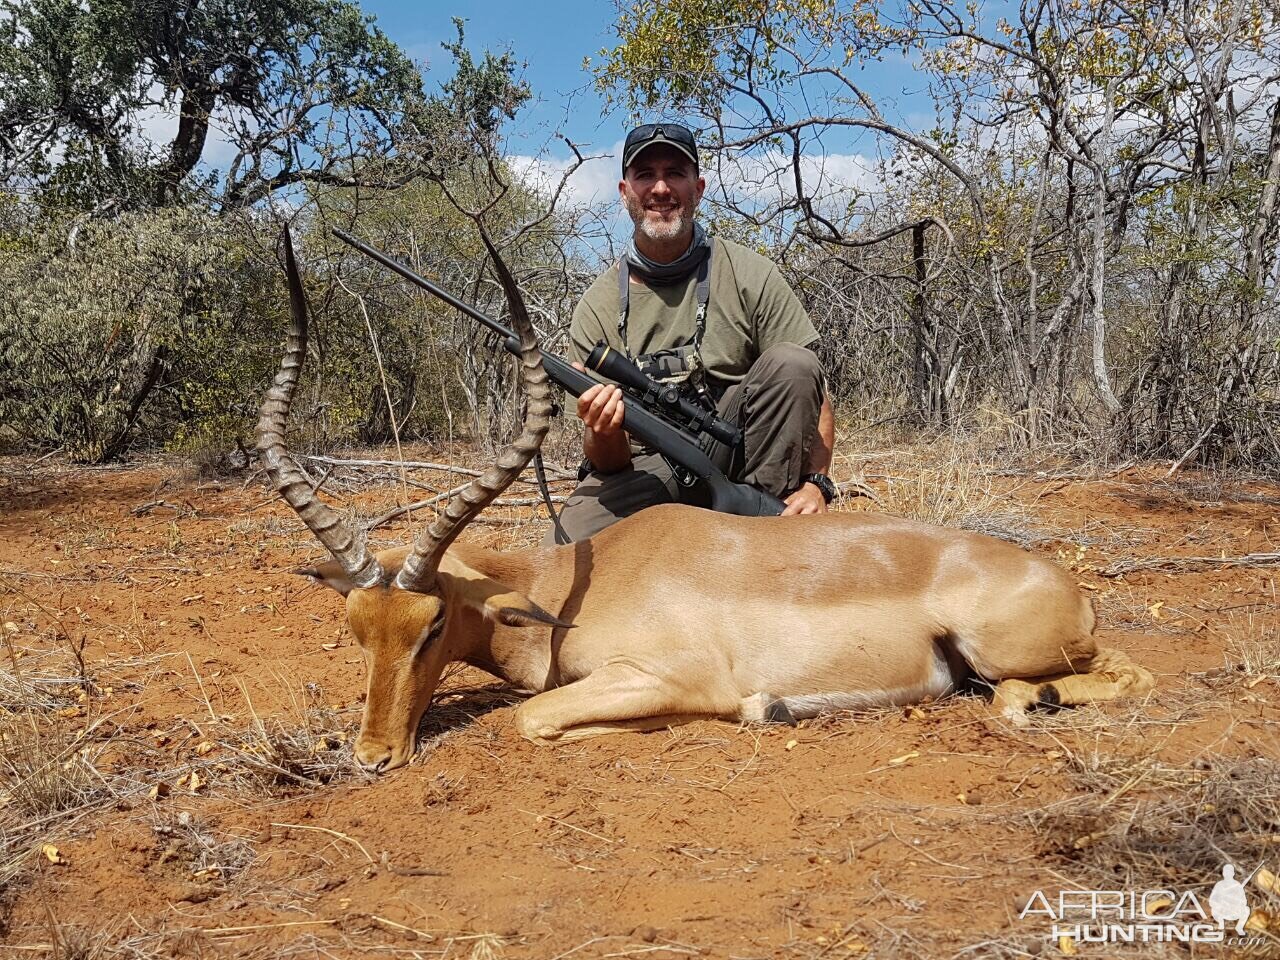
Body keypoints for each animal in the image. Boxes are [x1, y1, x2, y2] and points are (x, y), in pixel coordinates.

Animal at [257, 231, 1152, 773]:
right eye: (357, 628)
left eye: (432, 622)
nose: (373, 756)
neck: (572, 586)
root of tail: (1063, 581)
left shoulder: (662, 677)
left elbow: (533, 717)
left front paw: (756, 710)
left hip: (1008, 652)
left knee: (1110, 677)